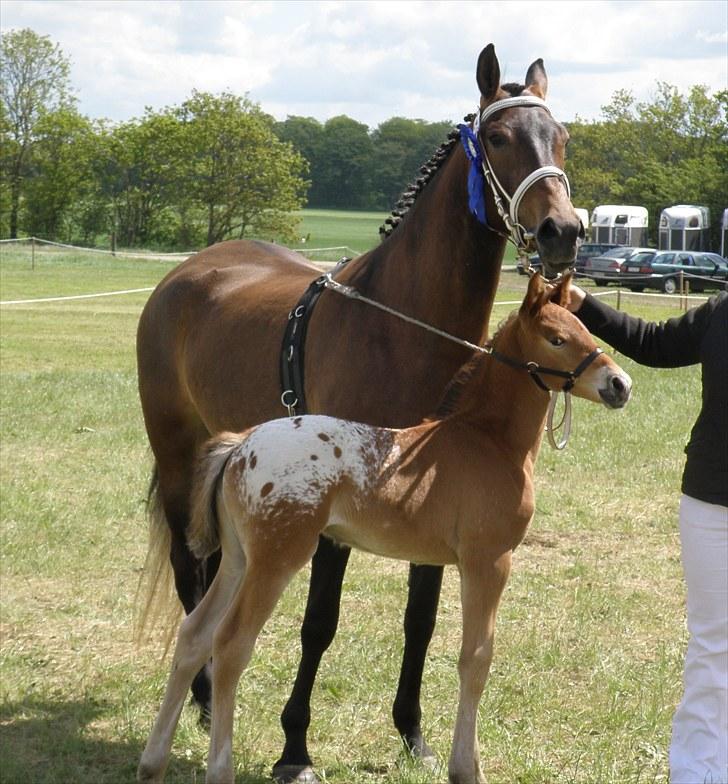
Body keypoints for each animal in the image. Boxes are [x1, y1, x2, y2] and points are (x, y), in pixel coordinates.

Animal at [138, 272, 632, 780]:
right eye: (557, 339)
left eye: (584, 328)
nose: (620, 384)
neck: (484, 441)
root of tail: (240, 446)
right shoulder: (488, 561)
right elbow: (476, 658)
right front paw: (466, 768)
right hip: (276, 561)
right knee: (231, 645)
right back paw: (220, 768)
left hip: (238, 559)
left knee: (194, 635)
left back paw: (152, 761)